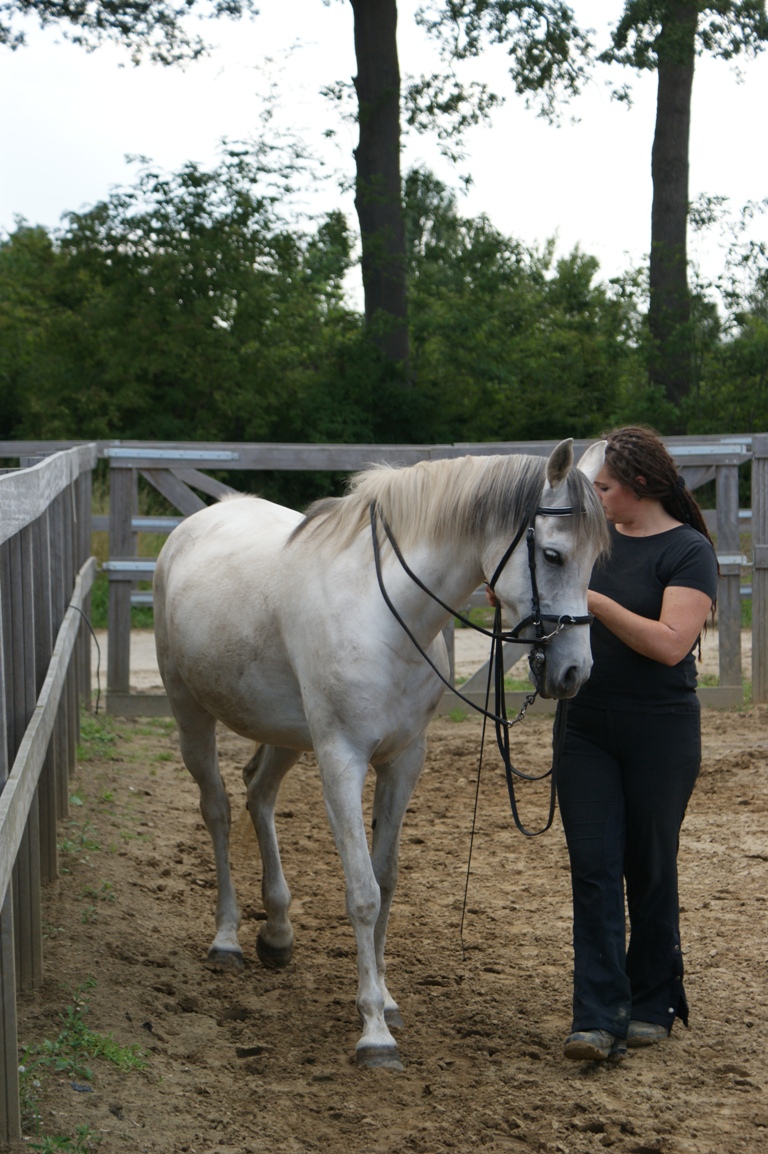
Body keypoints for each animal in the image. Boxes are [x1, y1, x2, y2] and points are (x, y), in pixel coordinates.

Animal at [154, 436, 604, 1066]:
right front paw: (373, 1032)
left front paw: (386, 1001)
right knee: (217, 809)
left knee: (258, 795)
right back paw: (227, 940)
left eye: (595, 561)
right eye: (556, 555)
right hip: (190, 711)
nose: (573, 673)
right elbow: (362, 891)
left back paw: (277, 932)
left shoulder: (403, 760)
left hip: (288, 735)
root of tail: (191, 528)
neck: (384, 616)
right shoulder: (342, 761)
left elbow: (386, 877)